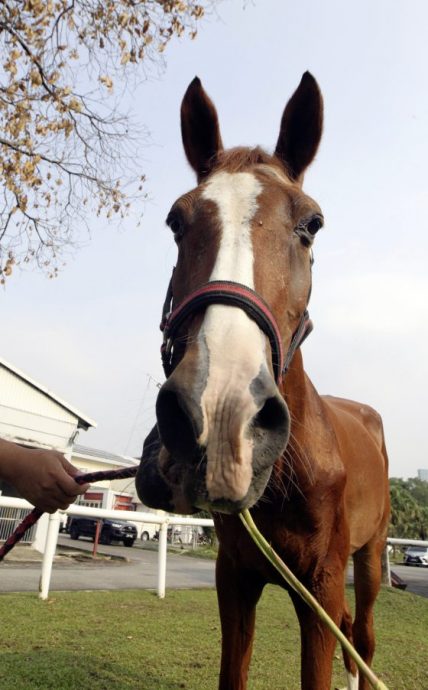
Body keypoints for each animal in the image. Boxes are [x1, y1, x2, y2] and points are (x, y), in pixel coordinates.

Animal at [136, 72, 390, 690]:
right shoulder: (235, 579)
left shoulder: (321, 588)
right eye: (177, 222)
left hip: (371, 560)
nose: (223, 412)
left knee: (364, 637)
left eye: (311, 224)